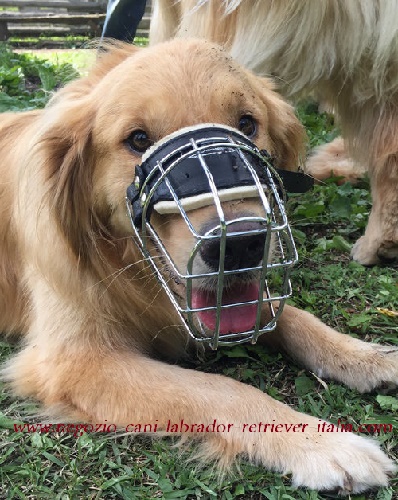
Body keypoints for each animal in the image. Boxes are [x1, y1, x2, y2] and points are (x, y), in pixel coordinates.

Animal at [0, 39, 398, 492]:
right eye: (138, 138)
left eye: (247, 123)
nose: (240, 245)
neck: (125, 265)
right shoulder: (76, 363)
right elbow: (220, 389)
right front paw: (322, 443)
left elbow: (296, 318)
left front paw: (368, 355)